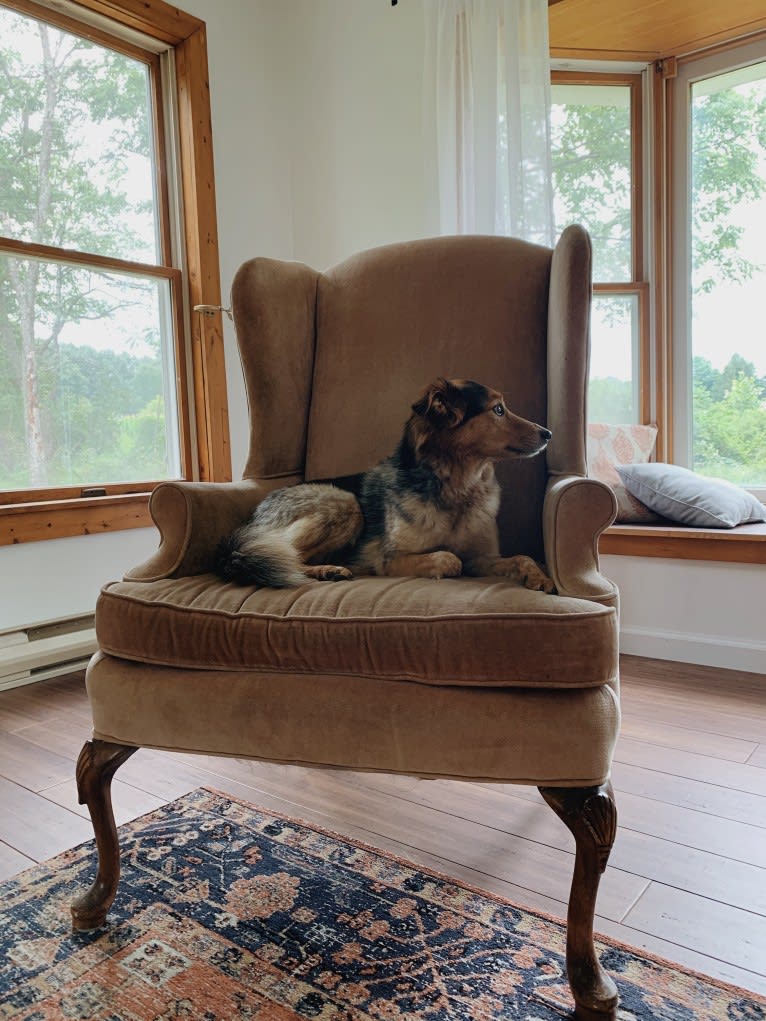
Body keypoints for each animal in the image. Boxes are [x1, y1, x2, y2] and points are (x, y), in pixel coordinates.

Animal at [216, 379, 559, 596]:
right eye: (498, 410)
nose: (549, 434)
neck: (457, 486)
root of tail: (255, 517)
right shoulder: (391, 559)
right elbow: (450, 558)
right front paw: (444, 563)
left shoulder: (481, 557)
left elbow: (522, 557)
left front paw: (540, 577)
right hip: (344, 504)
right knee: (287, 556)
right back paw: (328, 569)